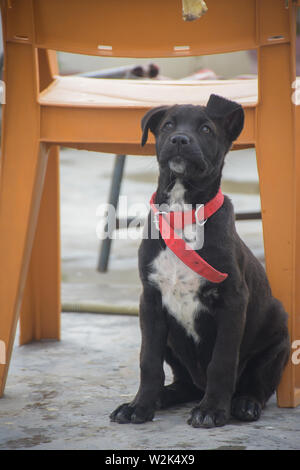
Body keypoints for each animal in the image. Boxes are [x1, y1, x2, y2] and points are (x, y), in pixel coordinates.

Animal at [110, 94, 290, 426]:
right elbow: (148, 361)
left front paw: (212, 410)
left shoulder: (233, 301)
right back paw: (164, 396)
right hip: (171, 341)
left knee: (257, 384)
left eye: (206, 129)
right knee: (185, 383)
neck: (183, 213)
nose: (180, 139)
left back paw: (244, 404)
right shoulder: (150, 302)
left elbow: (222, 361)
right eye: (168, 126)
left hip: (277, 341)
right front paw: (139, 406)